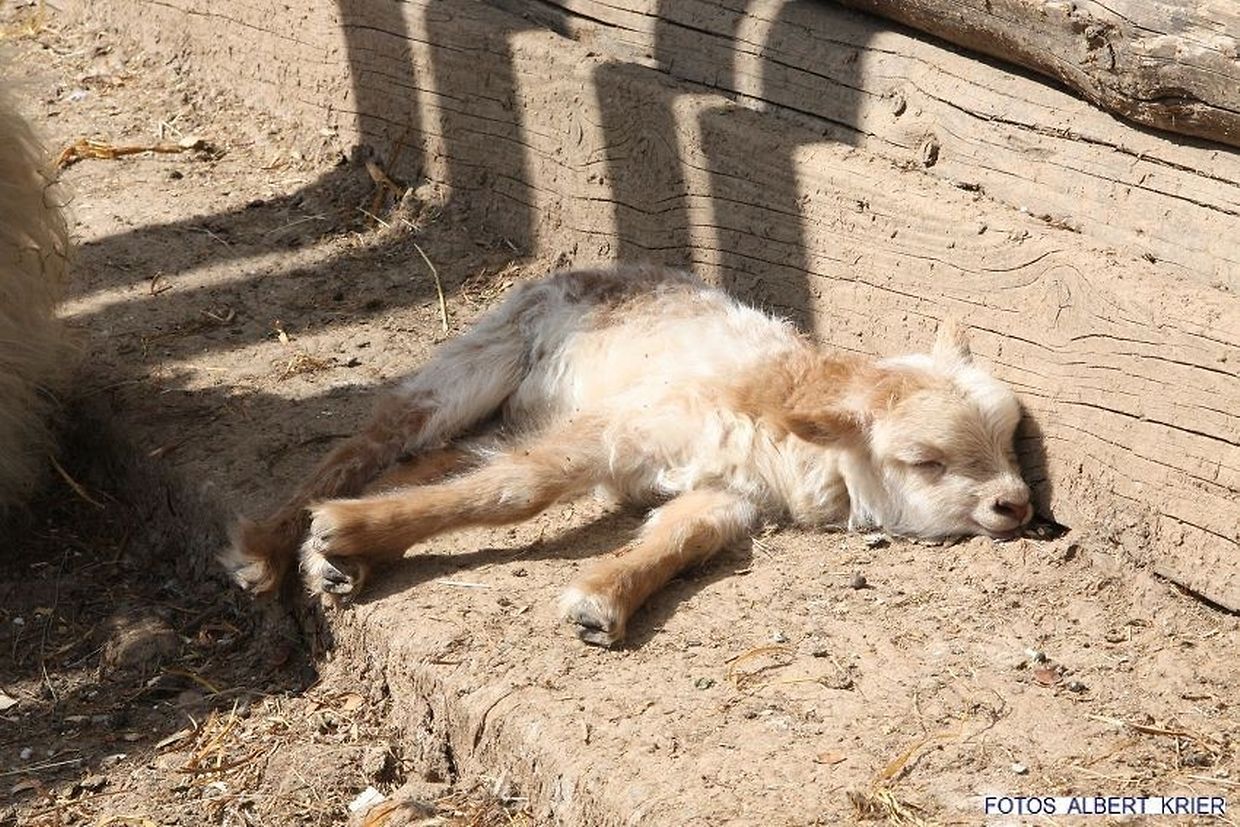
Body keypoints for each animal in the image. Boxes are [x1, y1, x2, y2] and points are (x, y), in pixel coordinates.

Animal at [226, 265, 1032, 646]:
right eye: (925, 461)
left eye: (1009, 441)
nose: (1016, 505)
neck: (781, 399)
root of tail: (601, 267)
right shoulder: (624, 426)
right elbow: (523, 488)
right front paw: (342, 527)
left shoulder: (732, 490)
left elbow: (682, 535)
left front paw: (602, 599)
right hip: (487, 353)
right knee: (377, 437)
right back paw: (280, 542)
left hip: (522, 407)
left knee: (439, 459)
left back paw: (346, 558)